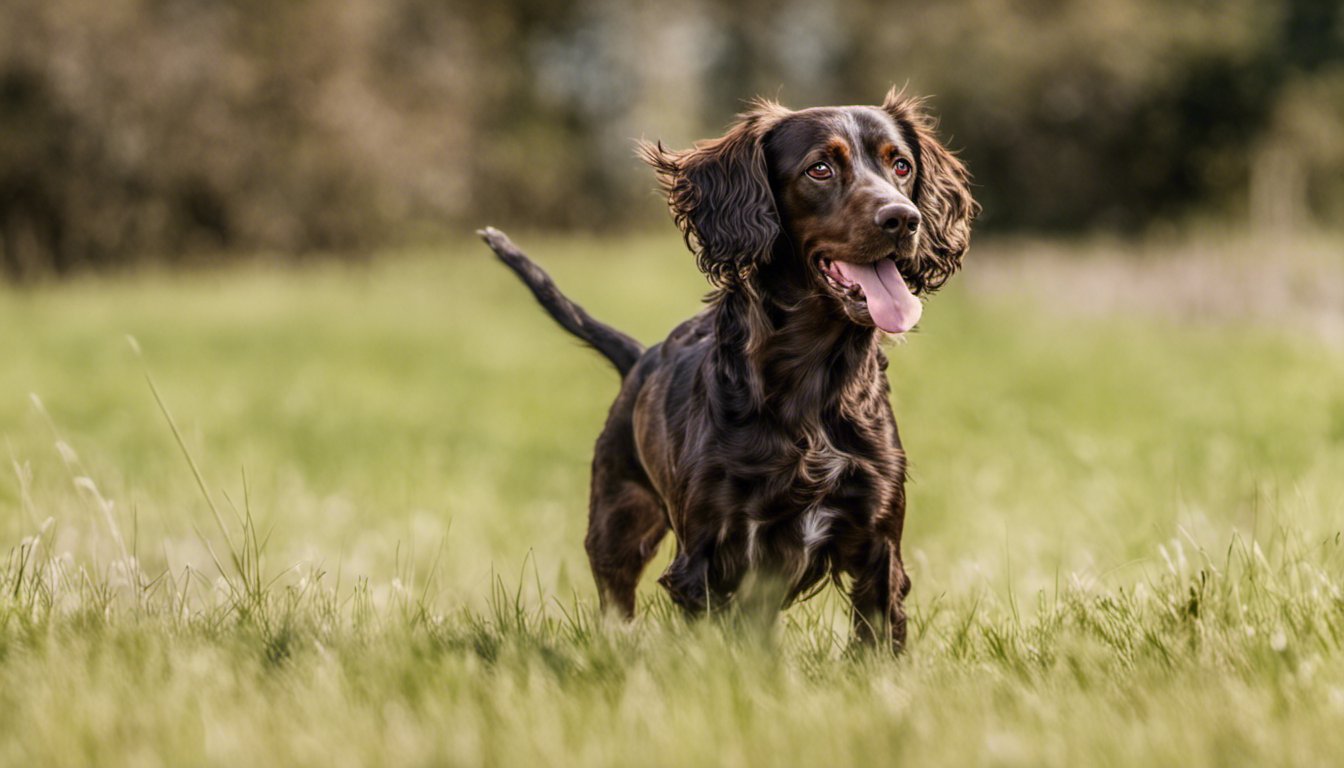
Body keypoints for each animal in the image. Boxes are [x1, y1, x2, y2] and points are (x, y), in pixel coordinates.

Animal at [483, 90, 978, 656]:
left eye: (901, 165)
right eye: (820, 168)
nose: (904, 218)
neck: (811, 381)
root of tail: (640, 358)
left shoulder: (877, 538)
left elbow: (875, 636)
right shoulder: (711, 553)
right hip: (617, 521)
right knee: (616, 600)